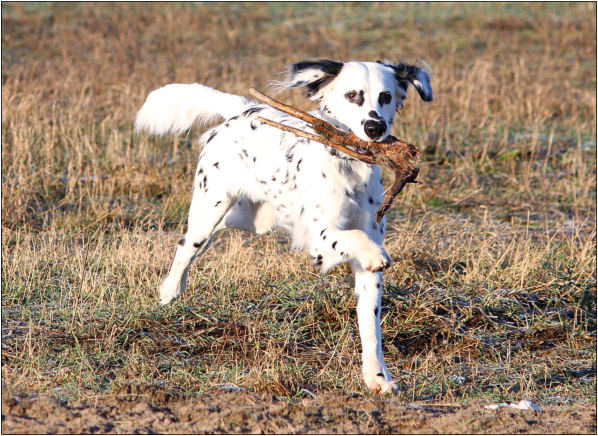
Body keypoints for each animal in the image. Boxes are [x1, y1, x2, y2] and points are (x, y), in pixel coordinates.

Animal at [135, 59, 433, 394]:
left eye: (385, 96)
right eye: (352, 95)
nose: (375, 128)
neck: (349, 165)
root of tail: (244, 108)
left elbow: (371, 329)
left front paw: (377, 378)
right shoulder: (321, 241)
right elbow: (355, 238)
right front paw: (374, 254)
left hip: (253, 218)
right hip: (212, 204)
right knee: (188, 243)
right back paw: (171, 288)